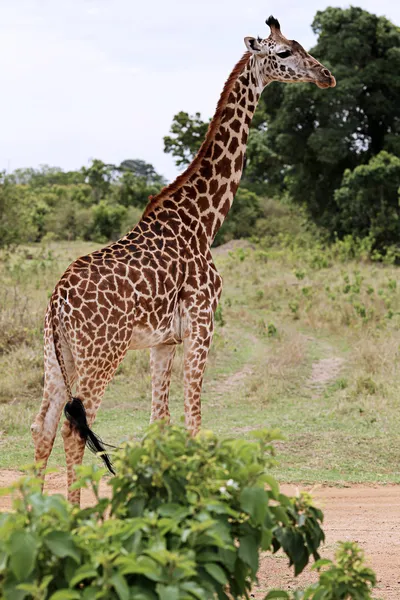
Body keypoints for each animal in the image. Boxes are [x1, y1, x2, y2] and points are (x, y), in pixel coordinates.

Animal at [31, 16, 334, 502]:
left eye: (300, 44)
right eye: (285, 52)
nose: (326, 75)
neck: (203, 221)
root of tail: (57, 302)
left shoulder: (163, 341)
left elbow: (160, 422)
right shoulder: (202, 323)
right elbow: (194, 422)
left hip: (55, 355)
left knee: (41, 427)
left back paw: (37, 510)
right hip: (102, 353)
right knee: (74, 429)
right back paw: (73, 514)